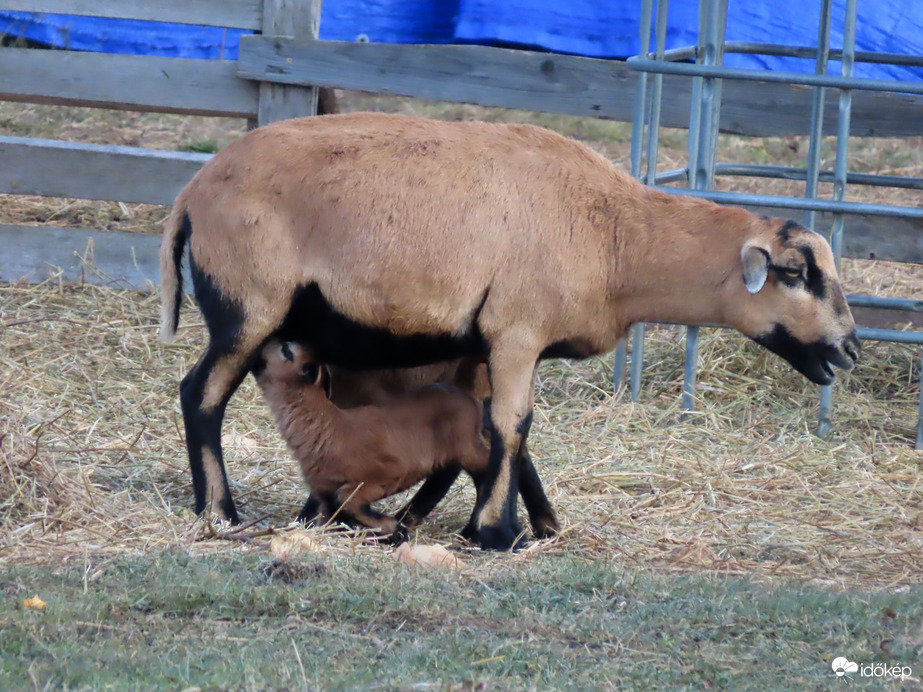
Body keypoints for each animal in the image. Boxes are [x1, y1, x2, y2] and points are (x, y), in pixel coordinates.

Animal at [253, 340, 494, 536]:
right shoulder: (324, 493)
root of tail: (460, 388)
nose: (260, 344)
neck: (327, 425)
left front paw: (390, 527)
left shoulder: (388, 474)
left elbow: (346, 497)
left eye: (286, 349)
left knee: (488, 470)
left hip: (469, 448)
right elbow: (336, 515)